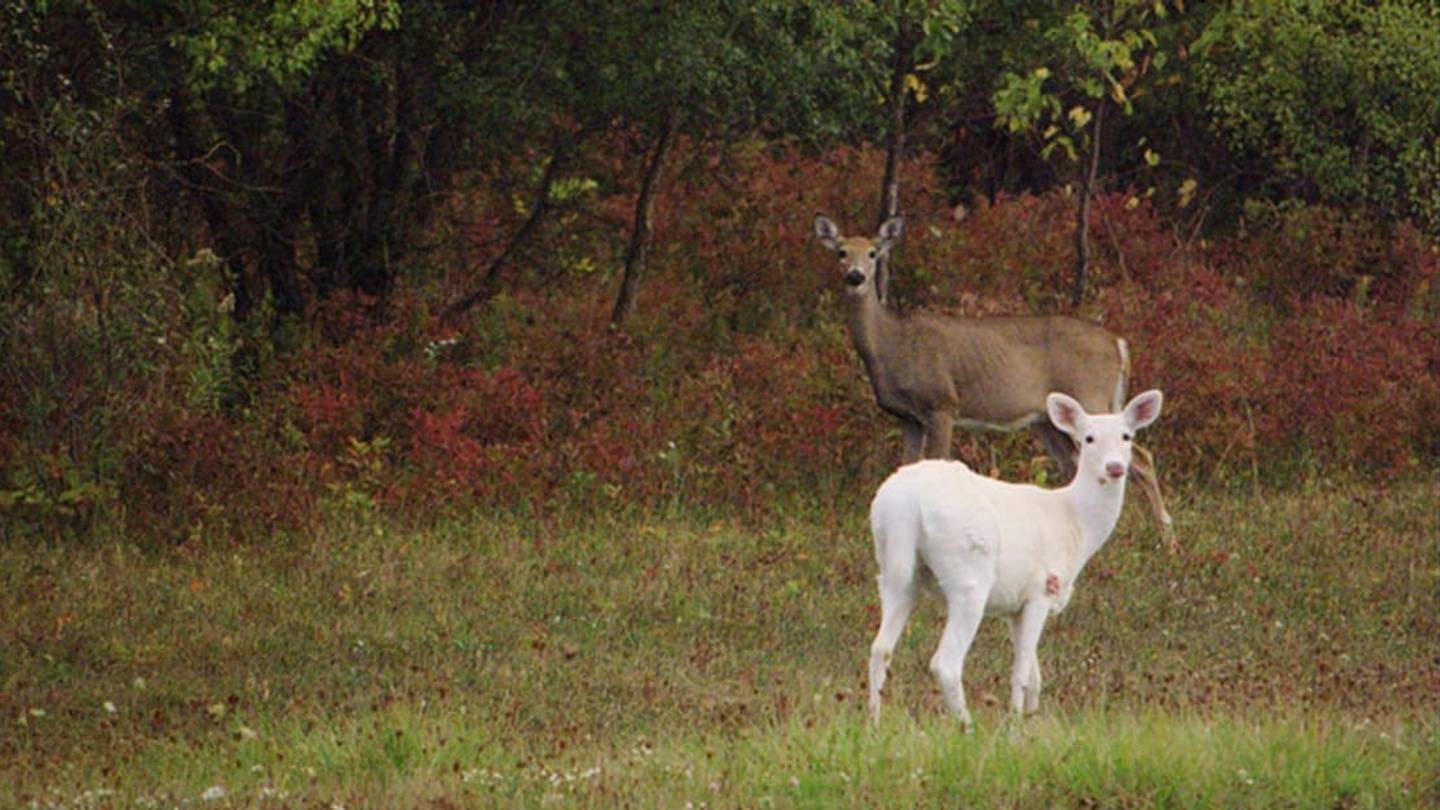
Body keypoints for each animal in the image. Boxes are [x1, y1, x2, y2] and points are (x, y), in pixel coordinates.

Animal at [811, 214, 1173, 545]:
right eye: (841, 252)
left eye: (873, 253)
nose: (855, 276)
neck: (891, 346)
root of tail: (1118, 343)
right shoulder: (908, 417)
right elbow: (907, 466)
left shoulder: (942, 403)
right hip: (1049, 420)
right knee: (1075, 465)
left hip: (1089, 395)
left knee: (1141, 457)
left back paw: (1167, 539)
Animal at [866, 389, 1164, 726]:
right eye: (1088, 438)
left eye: (1127, 436)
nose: (1114, 467)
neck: (1076, 523)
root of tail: (905, 504)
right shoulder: (1042, 589)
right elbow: (1021, 673)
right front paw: (1014, 723)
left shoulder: (1014, 606)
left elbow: (1035, 676)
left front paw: (1030, 719)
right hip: (968, 574)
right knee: (945, 662)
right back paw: (968, 726)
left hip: (893, 567)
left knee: (880, 649)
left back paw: (874, 722)